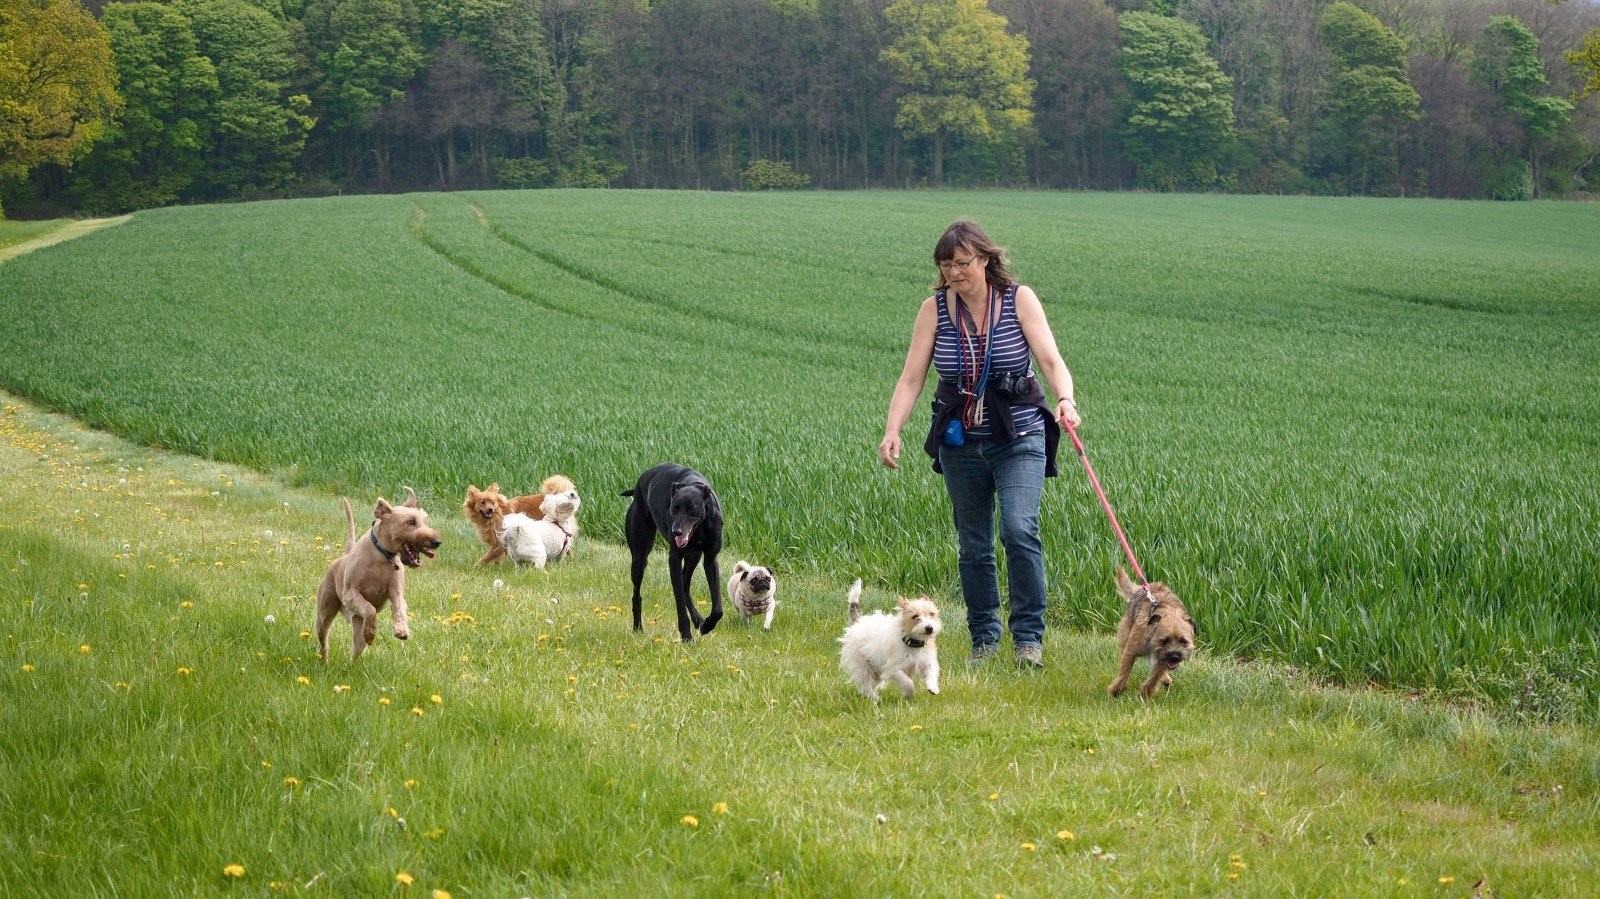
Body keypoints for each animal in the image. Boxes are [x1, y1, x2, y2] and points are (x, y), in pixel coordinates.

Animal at [315, 489, 441, 659]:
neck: (382, 556)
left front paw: (402, 630)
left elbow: (399, 608)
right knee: (323, 639)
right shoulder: (350, 594)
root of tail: (344, 556)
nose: (437, 542)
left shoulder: (396, 592)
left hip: (357, 621)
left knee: (357, 647)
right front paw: (371, 633)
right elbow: (370, 609)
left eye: (424, 520)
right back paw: (324, 660)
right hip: (325, 611)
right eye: (410, 522)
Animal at [624, 460, 726, 636]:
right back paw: (638, 627)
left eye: (692, 509)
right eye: (674, 508)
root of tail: (639, 483)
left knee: (685, 584)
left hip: (694, 556)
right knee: (637, 594)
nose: (676, 531)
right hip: (639, 557)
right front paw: (686, 637)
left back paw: (698, 620)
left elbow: (718, 608)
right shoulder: (675, 559)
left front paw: (707, 625)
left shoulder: (711, 558)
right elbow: (679, 604)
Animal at [838, 572, 934, 700]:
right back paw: (874, 697)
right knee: (865, 682)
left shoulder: (926, 661)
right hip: (862, 664)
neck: (912, 642)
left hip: (875, 668)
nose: (929, 628)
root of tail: (858, 621)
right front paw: (909, 693)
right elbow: (907, 682)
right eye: (915, 617)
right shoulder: (893, 668)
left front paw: (933, 687)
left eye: (932, 614)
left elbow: (931, 672)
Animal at [1107, 566, 1196, 700]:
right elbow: (1124, 671)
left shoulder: (1163, 659)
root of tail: (1140, 589)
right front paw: (1116, 691)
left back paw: (1165, 679)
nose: (1175, 656)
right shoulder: (1131, 650)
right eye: (1164, 640)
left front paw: (1145, 695)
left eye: (1183, 641)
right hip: (1125, 634)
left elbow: (1155, 677)